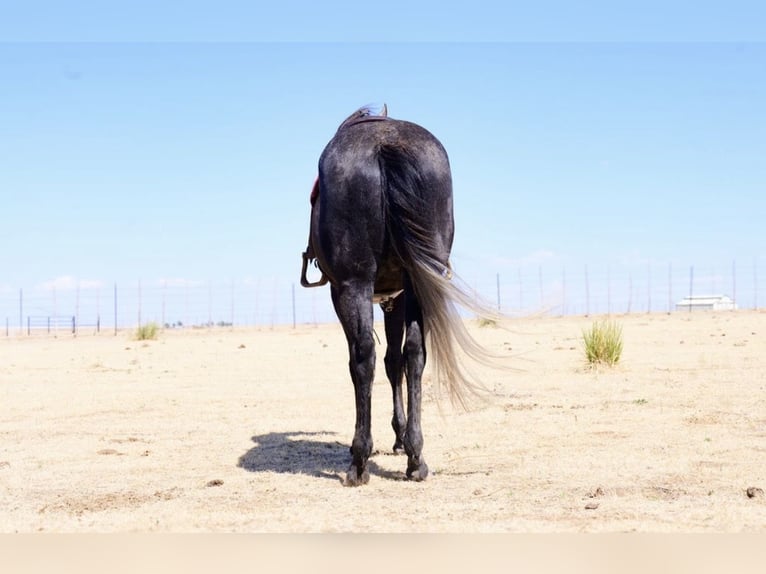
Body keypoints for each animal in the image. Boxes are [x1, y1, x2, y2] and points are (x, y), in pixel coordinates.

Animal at [301, 105, 496, 486]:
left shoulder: (372, 295)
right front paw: (402, 439)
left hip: (353, 285)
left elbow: (380, 361)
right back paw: (415, 457)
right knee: (415, 354)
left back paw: (359, 461)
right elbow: (399, 360)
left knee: (363, 357)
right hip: (420, 281)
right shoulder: (399, 296)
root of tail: (384, 144)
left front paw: (393, 437)